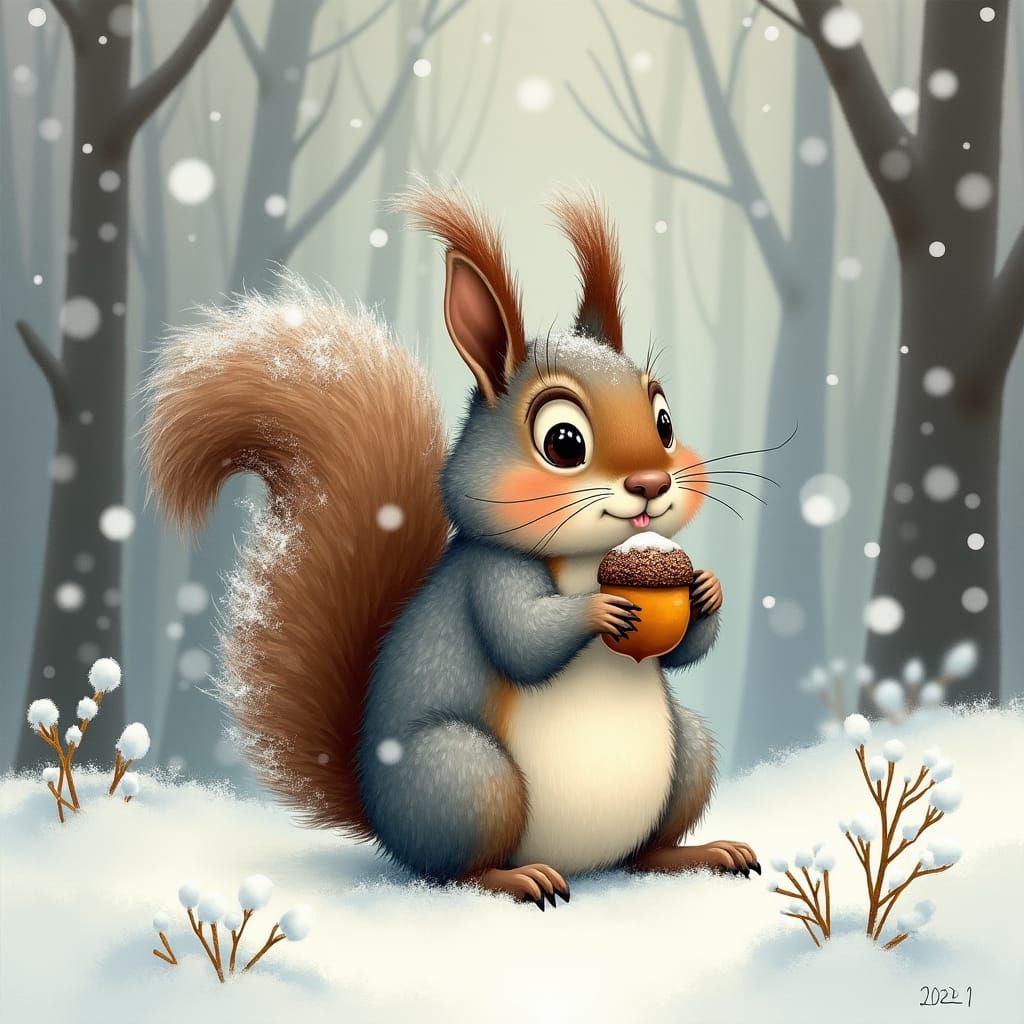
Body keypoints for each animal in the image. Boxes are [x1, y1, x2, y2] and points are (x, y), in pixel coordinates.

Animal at [145, 184, 759, 909]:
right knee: (455, 869)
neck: (588, 560)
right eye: (563, 441)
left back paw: (700, 853)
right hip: (466, 774)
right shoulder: (486, 577)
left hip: (685, 750)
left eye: (664, 420)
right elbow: (522, 639)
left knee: (646, 848)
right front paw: (600, 610)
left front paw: (706, 590)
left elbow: (684, 648)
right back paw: (519, 878)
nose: (652, 484)